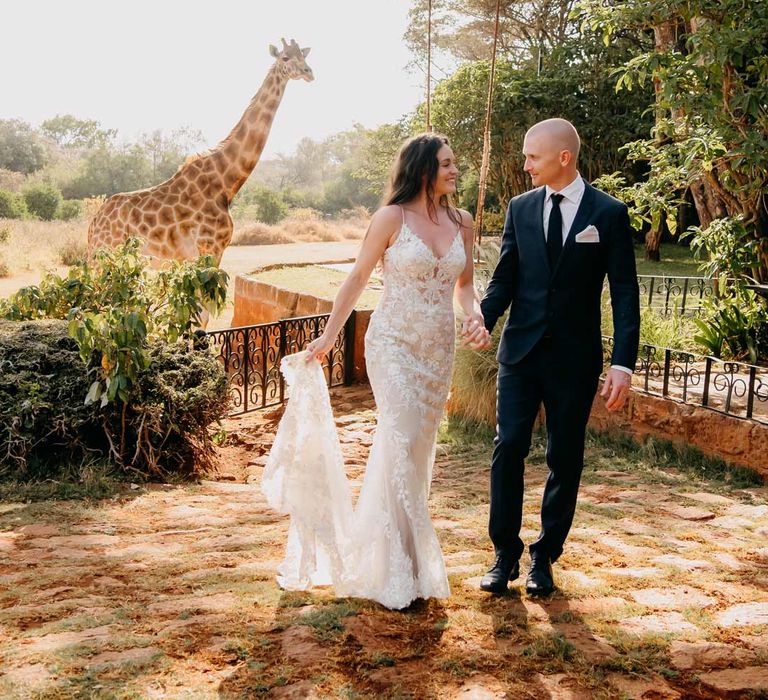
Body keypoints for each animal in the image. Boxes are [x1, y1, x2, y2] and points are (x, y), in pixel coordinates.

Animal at [85, 39, 312, 266]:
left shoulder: (209, 251)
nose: (309, 72)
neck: (225, 181)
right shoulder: (209, 247)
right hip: (105, 252)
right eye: (285, 58)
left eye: (303, 56)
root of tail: (93, 224)